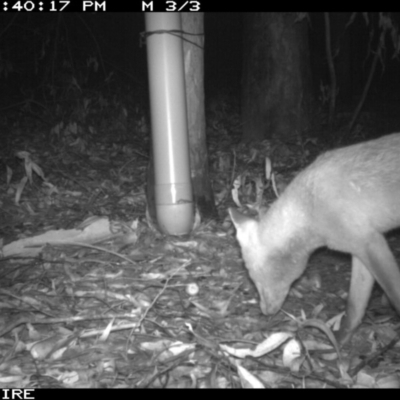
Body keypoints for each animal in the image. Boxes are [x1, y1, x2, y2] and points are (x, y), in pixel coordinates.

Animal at [230, 132, 400, 344]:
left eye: (261, 280)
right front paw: (339, 341)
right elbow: (354, 306)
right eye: (253, 281)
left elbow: (394, 294)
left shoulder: (372, 243)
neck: (311, 208)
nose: (266, 312)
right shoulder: (361, 250)